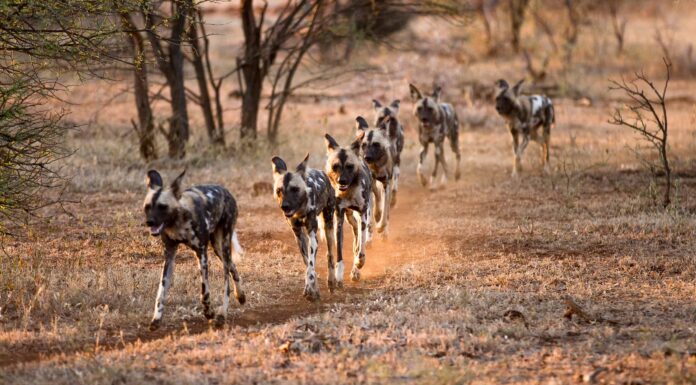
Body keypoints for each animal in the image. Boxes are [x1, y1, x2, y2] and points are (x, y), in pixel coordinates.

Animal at [141, 170, 245, 328]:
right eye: (147, 207)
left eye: (162, 207)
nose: (149, 222)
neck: (178, 221)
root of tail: (225, 190)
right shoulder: (170, 255)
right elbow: (161, 290)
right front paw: (156, 318)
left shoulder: (201, 253)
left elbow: (204, 292)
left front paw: (209, 312)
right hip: (217, 247)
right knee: (232, 267)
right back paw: (240, 296)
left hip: (224, 244)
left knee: (226, 279)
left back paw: (222, 314)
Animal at [270, 153, 338, 300]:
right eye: (279, 191)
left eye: (295, 189)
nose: (285, 206)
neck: (299, 210)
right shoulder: (299, 236)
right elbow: (307, 263)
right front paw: (313, 288)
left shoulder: (312, 236)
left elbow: (311, 265)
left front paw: (310, 289)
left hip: (329, 224)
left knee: (330, 254)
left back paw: (332, 281)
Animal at [324, 134, 372, 280]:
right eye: (335, 167)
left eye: (350, 166)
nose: (342, 181)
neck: (349, 191)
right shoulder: (339, 219)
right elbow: (339, 251)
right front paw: (339, 273)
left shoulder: (363, 214)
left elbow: (361, 248)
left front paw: (359, 263)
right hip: (349, 216)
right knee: (355, 229)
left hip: (364, 214)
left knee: (360, 237)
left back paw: (356, 268)